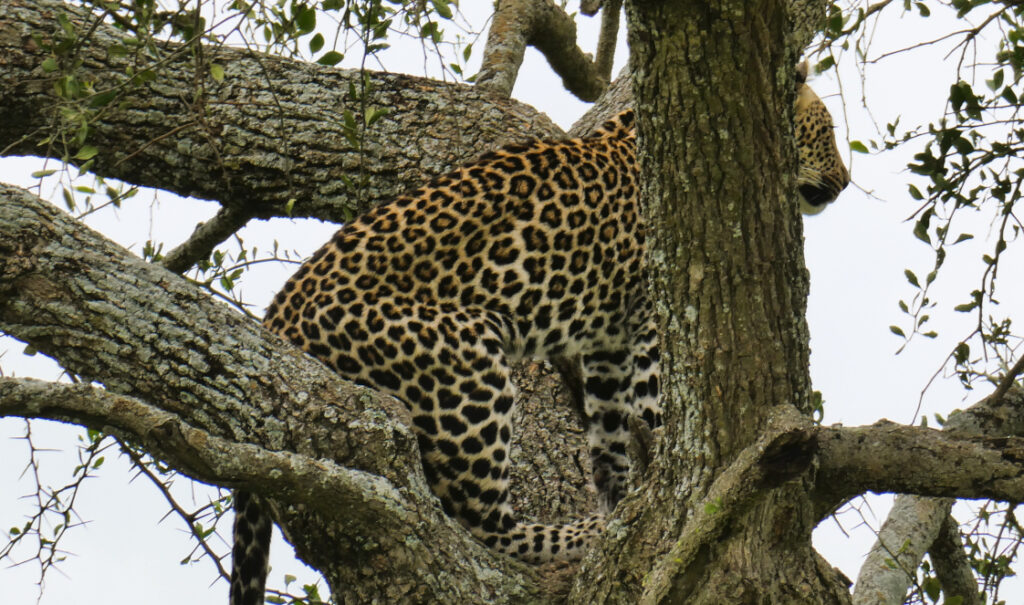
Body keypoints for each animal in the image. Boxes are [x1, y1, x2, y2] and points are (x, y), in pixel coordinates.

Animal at [229, 68, 850, 605]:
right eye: (828, 130)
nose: (844, 184)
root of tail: (276, 318)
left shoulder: (607, 342)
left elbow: (610, 434)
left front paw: (624, 500)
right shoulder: (653, 321)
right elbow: (658, 408)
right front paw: (658, 481)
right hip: (466, 363)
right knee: (480, 520)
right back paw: (572, 536)